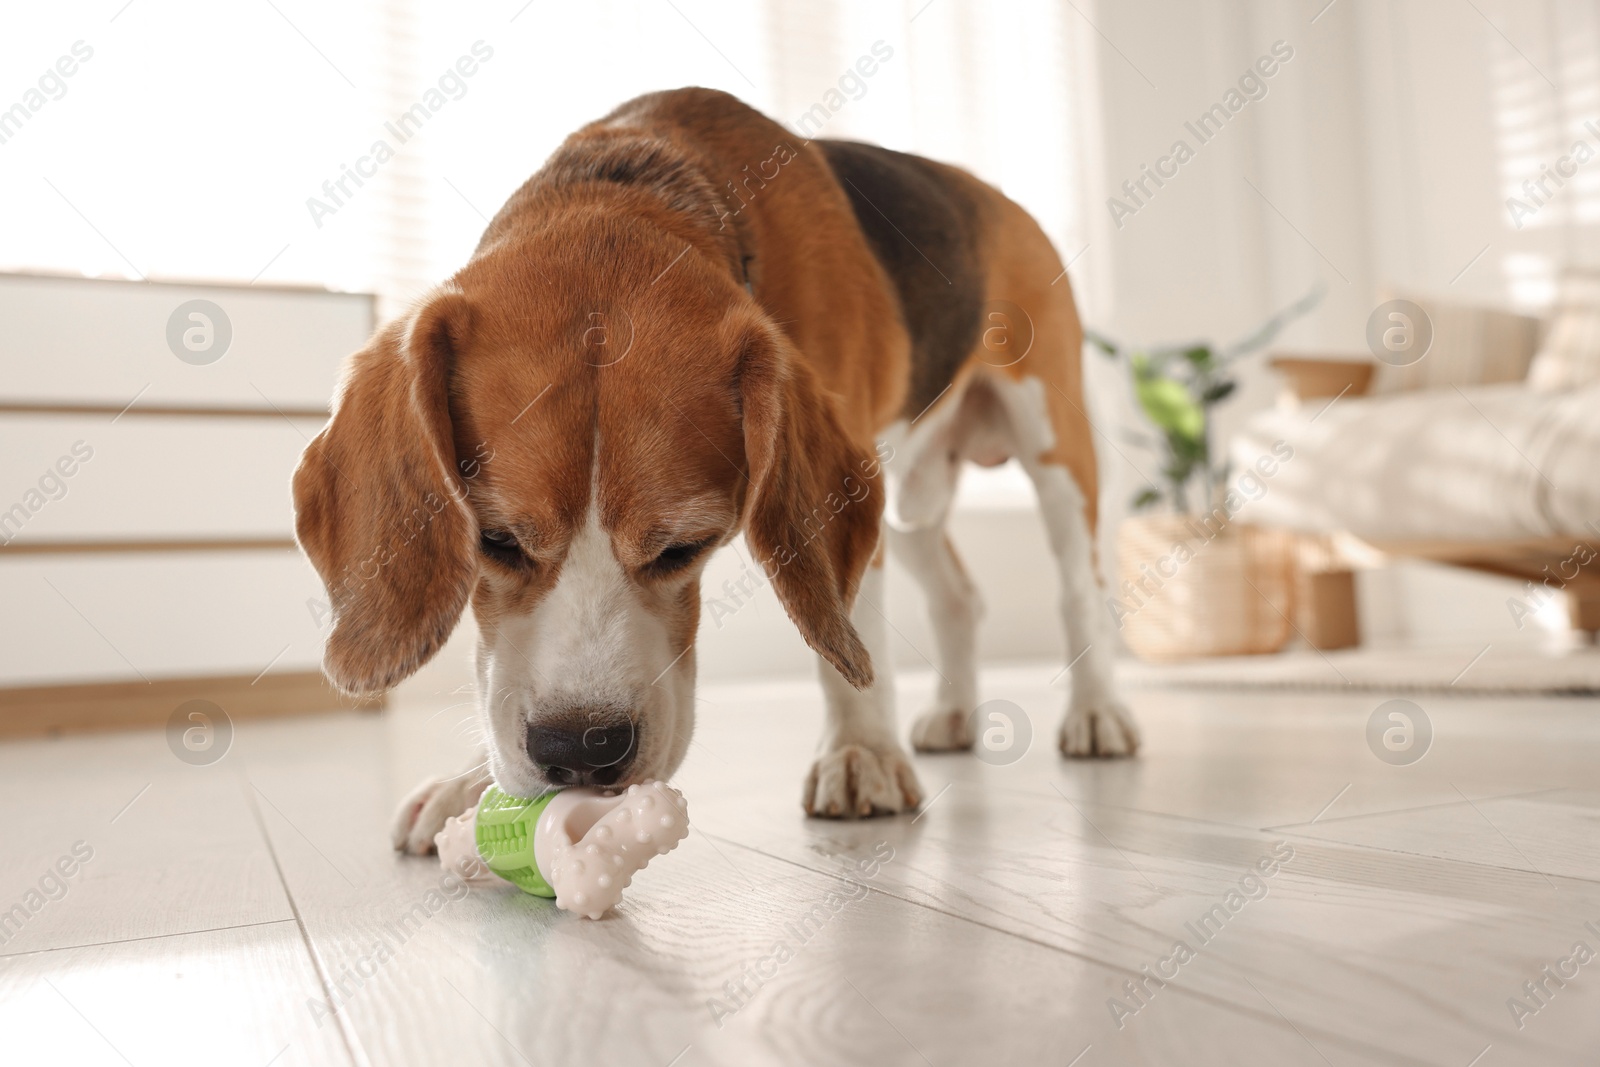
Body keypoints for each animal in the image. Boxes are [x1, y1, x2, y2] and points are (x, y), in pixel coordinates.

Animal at [291, 87, 1139, 851]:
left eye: (683, 548)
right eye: (493, 541)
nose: (582, 750)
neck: (632, 186)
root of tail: (988, 191)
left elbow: (850, 632)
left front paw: (860, 749)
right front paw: (469, 783)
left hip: (1051, 446)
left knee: (1077, 587)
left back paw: (1097, 710)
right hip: (900, 494)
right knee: (959, 595)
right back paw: (958, 712)